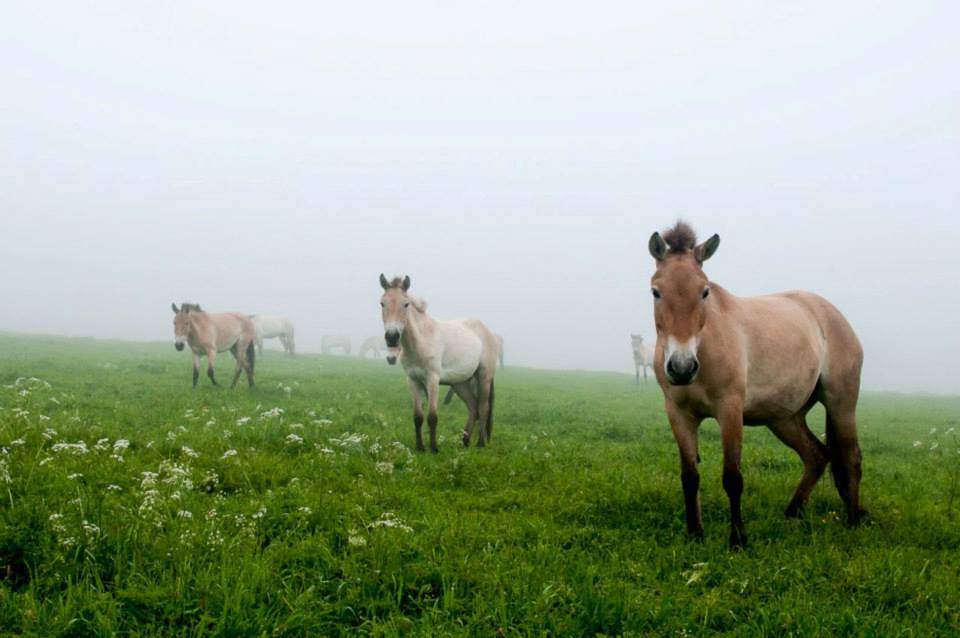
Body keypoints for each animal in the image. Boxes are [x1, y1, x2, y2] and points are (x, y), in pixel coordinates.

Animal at [378, 276, 498, 456]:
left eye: (406, 304)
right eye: (382, 303)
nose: (392, 337)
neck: (420, 341)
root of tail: (487, 331)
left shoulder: (432, 380)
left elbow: (432, 417)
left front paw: (434, 448)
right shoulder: (413, 381)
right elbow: (418, 417)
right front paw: (420, 447)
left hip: (484, 377)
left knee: (483, 408)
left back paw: (480, 444)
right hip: (460, 383)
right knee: (473, 408)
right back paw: (464, 442)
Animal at [648, 224, 868, 552]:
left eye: (704, 291)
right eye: (656, 291)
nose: (682, 367)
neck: (704, 345)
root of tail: (832, 314)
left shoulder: (730, 411)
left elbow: (732, 477)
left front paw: (738, 540)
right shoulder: (679, 414)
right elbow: (690, 476)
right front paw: (695, 534)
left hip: (841, 403)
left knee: (851, 458)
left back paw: (852, 521)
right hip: (785, 418)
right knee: (816, 456)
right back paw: (792, 514)